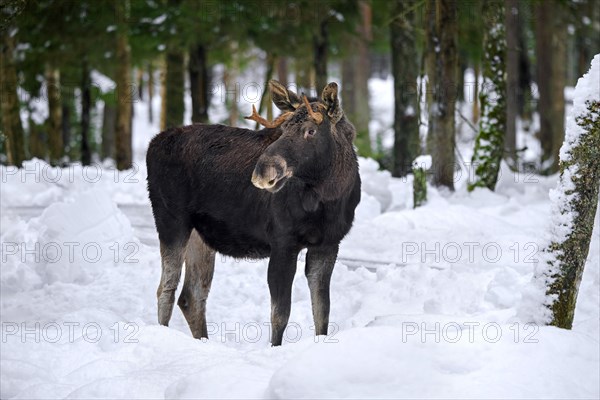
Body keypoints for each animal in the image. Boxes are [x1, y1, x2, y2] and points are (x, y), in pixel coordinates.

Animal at [146, 79, 360, 346]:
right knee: (166, 288)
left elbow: (322, 312)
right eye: (283, 128)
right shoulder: (283, 241)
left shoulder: (328, 243)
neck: (331, 196)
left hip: (200, 235)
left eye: (311, 131)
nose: (263, 170)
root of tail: (152, 144)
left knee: (192, 296)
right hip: (171, 220)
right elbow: (280, 314)